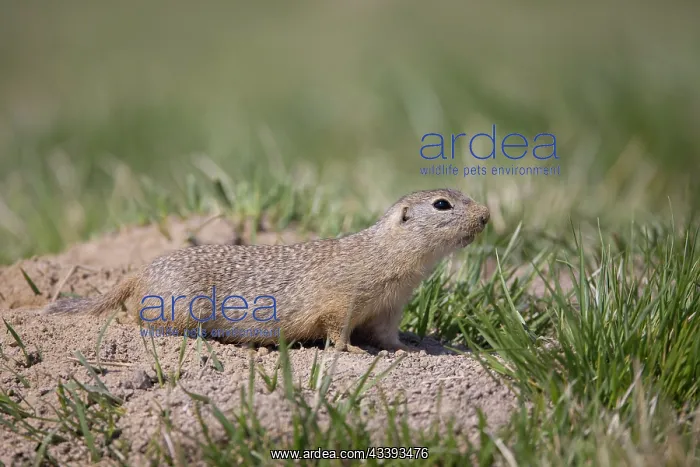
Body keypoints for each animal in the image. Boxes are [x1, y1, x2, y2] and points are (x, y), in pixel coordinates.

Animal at [42, 188, 490, 353]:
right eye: (442, 205)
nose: (487, 215)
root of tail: (138, 273)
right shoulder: (341, 297)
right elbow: (336, 328)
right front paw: (352, 351)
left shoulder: (388, 309)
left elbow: (387, 336)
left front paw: (410, 349)